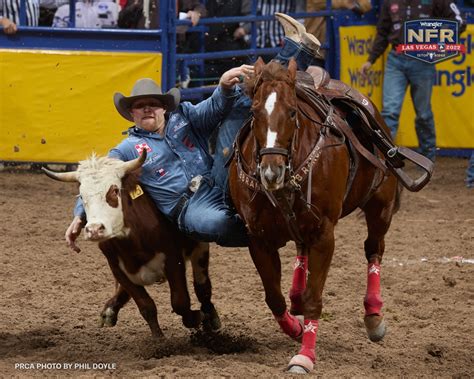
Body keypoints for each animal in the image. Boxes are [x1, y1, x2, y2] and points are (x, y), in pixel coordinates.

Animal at [228, 59, 402, 374]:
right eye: (254, 110)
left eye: (292, 111)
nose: (271, 171)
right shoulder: (258, 238)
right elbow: (273, 297)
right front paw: (295, 328)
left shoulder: (324, 234)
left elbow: (314, 299)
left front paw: (304, 356)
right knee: (301, 250)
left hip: (380, 207)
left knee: (374, 249)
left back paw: (373, 316)